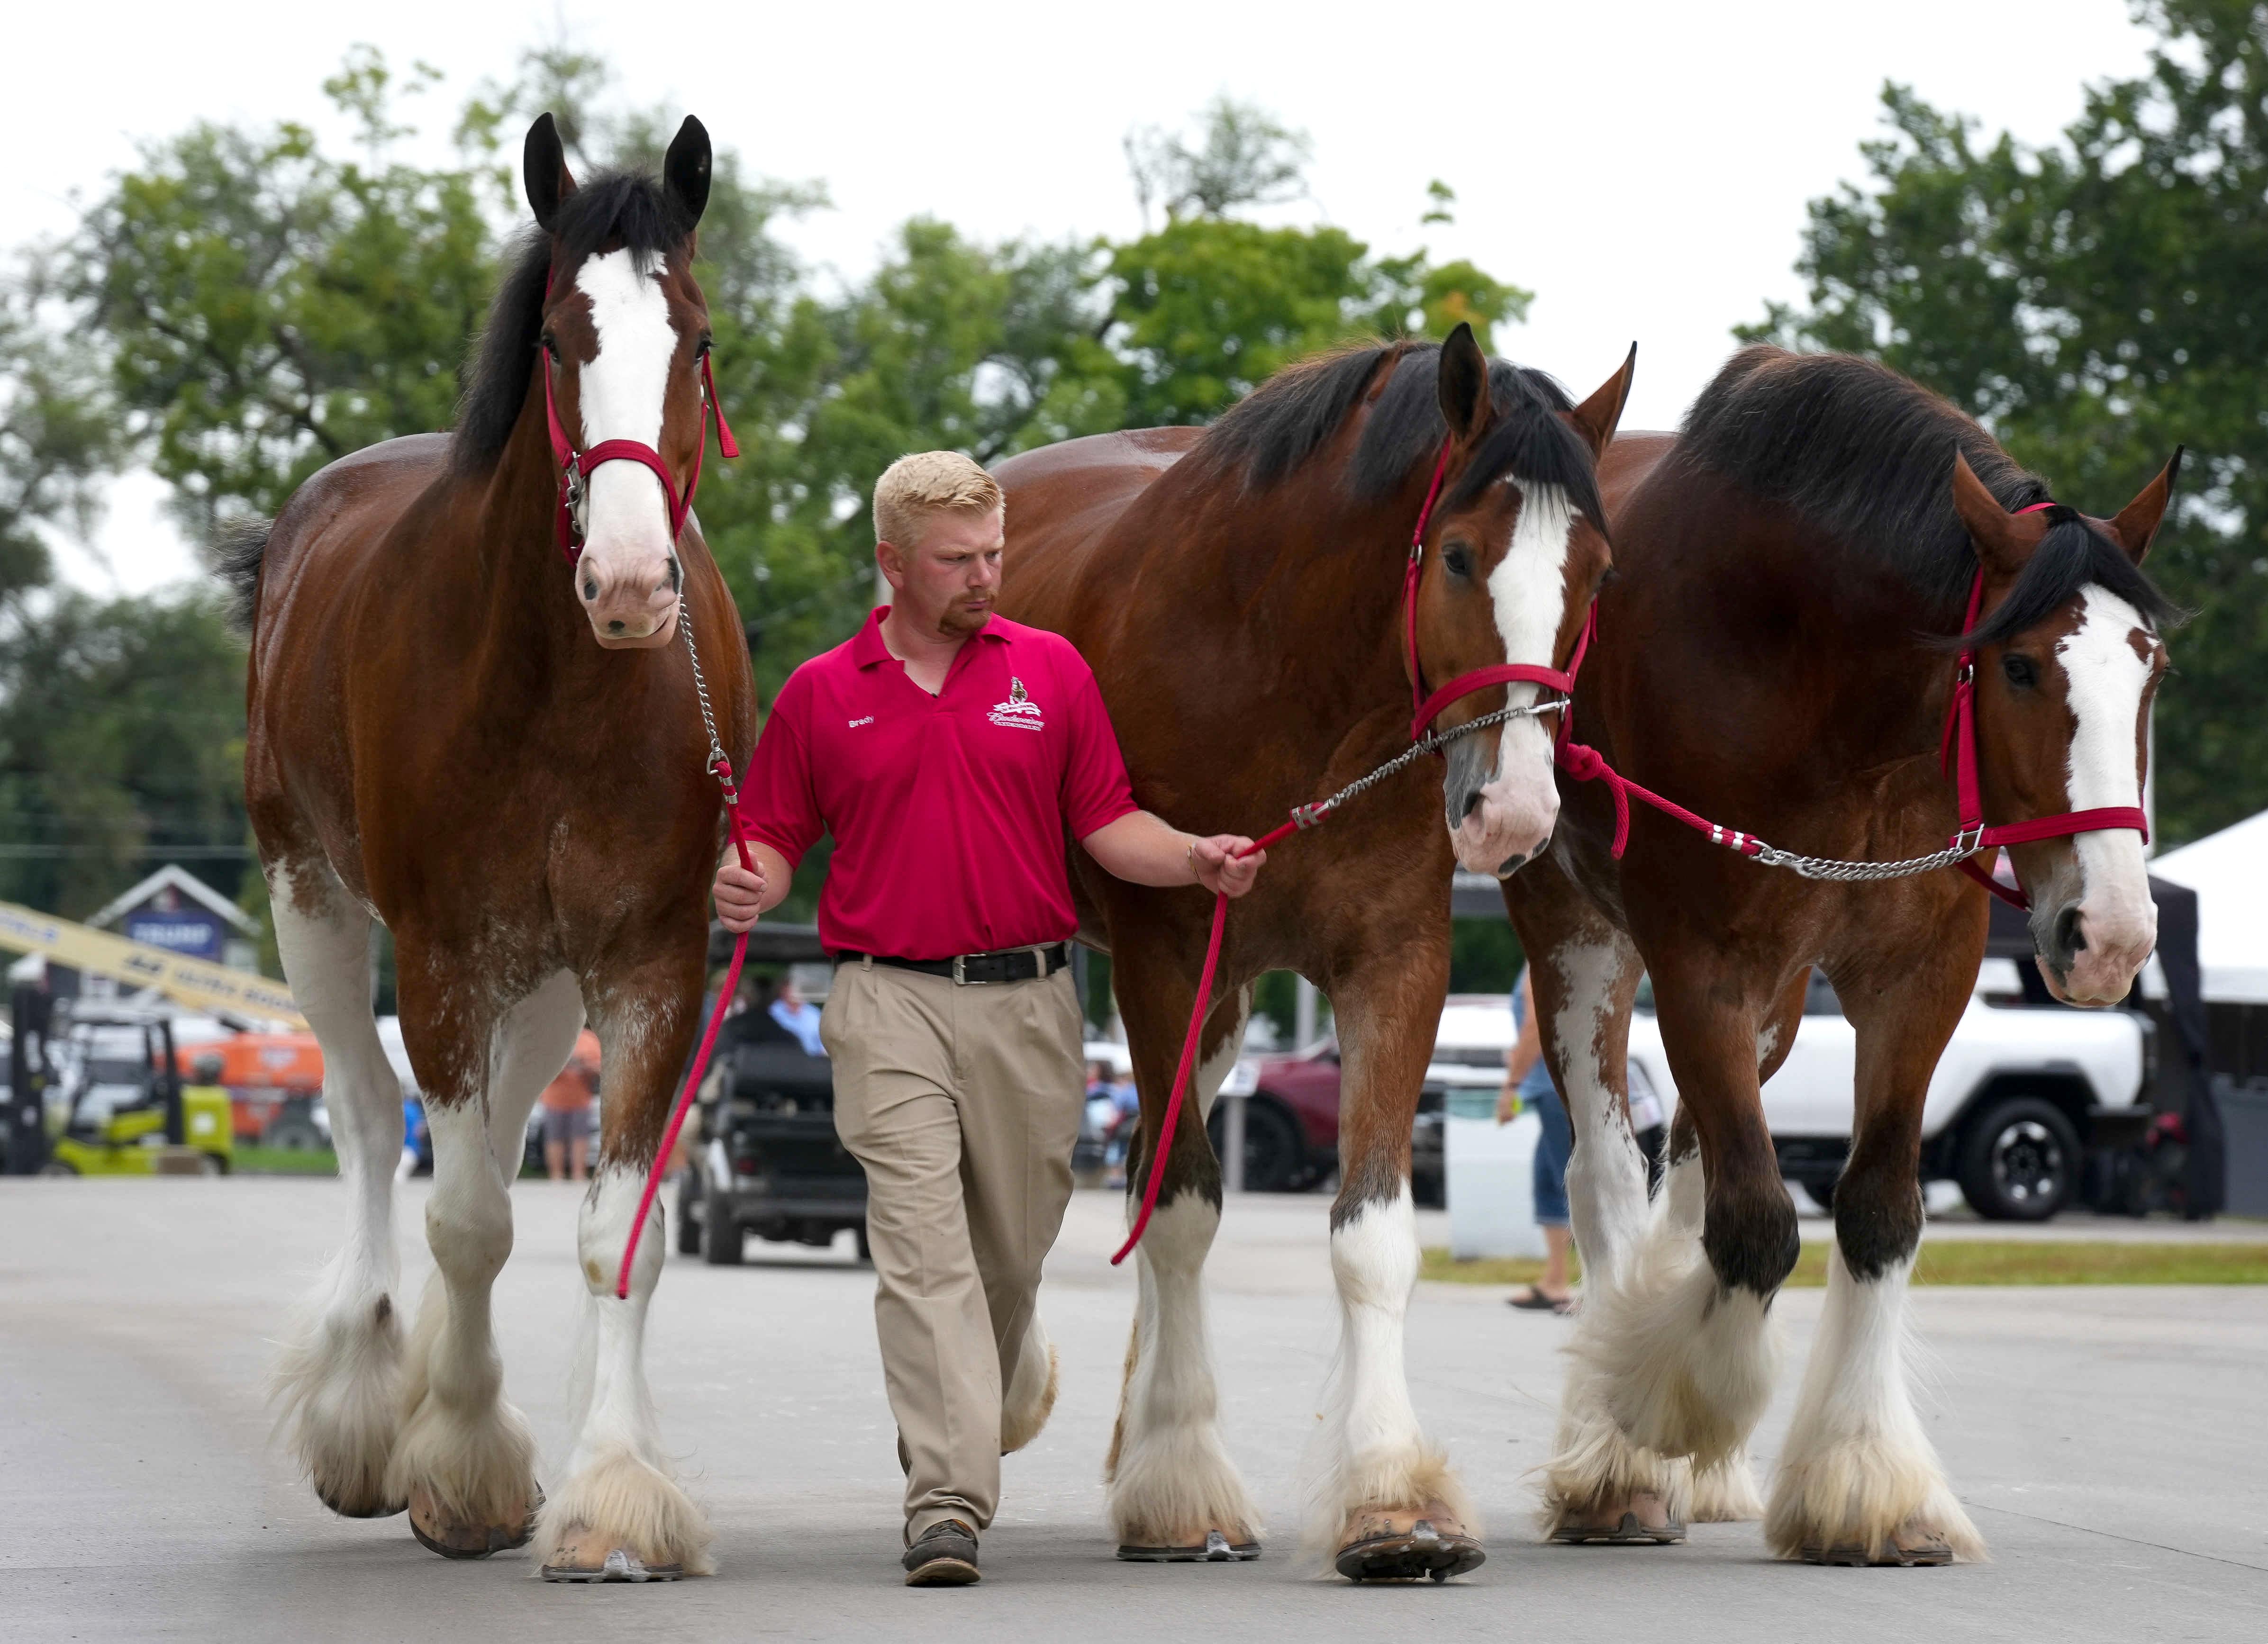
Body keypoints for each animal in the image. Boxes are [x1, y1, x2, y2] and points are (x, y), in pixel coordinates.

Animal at [237, 116, 753, 1578]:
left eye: (697, 338)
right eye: (561, 339)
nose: (630, 583)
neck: (563, 688)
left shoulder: (648, 960)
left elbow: (612, 1229)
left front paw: (613, 1486)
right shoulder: (442, 956)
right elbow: (462, 1217)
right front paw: (458, 1458)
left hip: (544, 982)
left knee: (506, 1137)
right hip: (313, 902)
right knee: (366, 1120)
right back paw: (370, 1405)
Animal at [1002, 326, 1642, 1569]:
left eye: (1593, 574)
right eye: (1458, 556)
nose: (1513, 809)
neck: (1284, 674)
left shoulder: (1393, 961)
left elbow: (1370, 1231)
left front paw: (1391, 1496)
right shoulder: (1162, 956)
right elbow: (1183, 1210)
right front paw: (1187, 1489)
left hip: (1221, 1011)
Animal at [1506, 349, 2177, 1569]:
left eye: (2147, 671)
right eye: (2017, 667)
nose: (2106, 933)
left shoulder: (1917, 977)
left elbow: (1872, 1209)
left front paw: (1865, 1484)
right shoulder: (1700, 966)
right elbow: (1759, 1222)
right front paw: (1653, 1408)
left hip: (1777, 999)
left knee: (1687, 1167)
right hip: (1575, 934)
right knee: (1606, 1178)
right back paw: (1614, 1461)